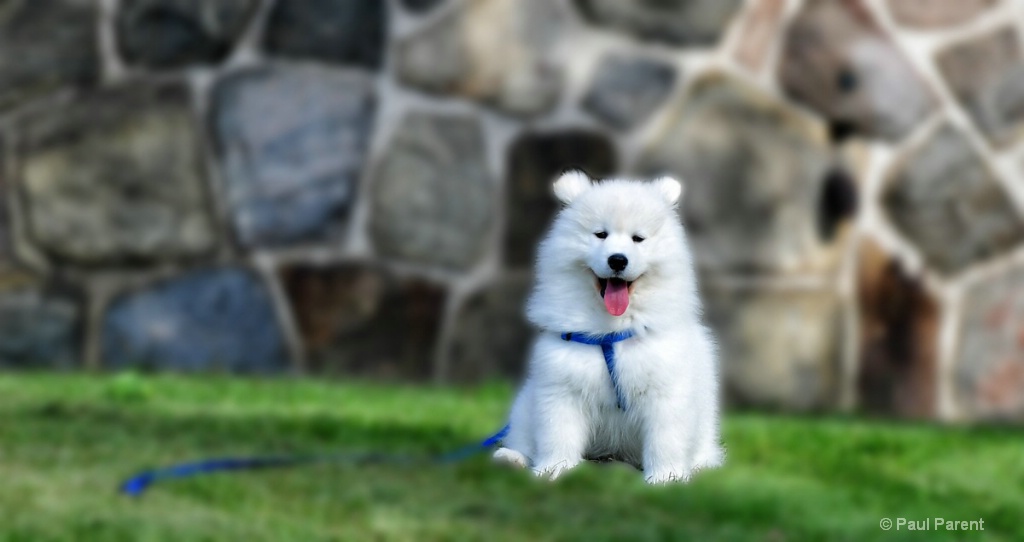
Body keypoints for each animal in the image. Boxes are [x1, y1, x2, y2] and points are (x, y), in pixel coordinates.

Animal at [493, 171, 720, 483]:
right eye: (600, 234)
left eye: (638, 239)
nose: (618, 260)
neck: (610, 333)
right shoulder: (562, 388)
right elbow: (557, 435)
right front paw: (554, 470)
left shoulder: (666, 390)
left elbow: (665, 439)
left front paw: (665, 479)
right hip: (526, 406)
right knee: (524, 439)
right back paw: (510, 459)